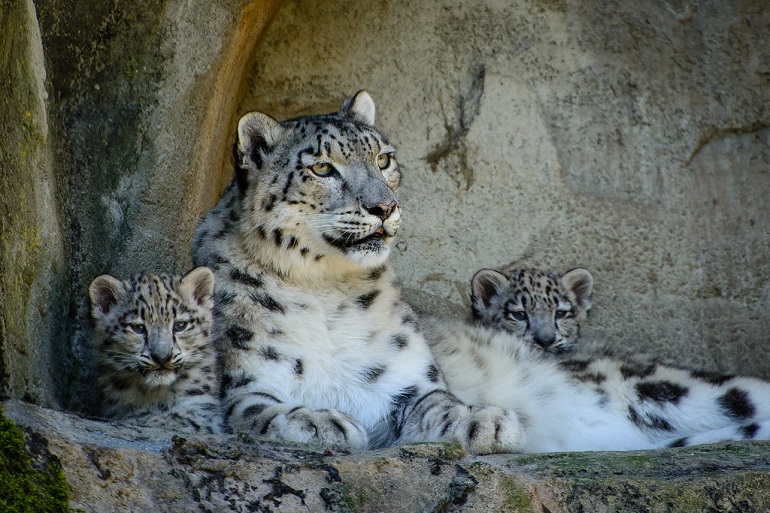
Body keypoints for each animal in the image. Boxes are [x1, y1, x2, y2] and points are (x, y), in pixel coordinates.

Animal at [90, 268, 224, 432]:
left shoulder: (202, 409)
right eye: (138, 327)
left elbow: (182, 419)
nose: (162, 357)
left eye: (180, 325)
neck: (154, 394)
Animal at [190, 91, 520, 452]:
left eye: (383, 159)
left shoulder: (406, 380)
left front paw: (483, 420)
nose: (385, 207)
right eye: (322, 168)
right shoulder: (247, 382)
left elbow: (437, 402)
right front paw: (320, 422)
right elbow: (260, 412)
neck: (325, 287)